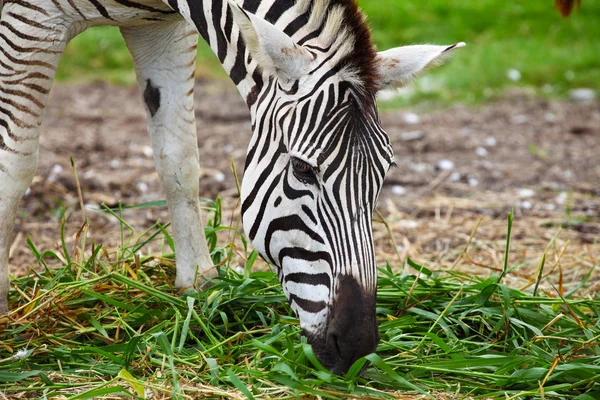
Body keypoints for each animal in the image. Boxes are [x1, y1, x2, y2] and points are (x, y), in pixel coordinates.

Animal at [0, 0, 464, 376]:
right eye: (302, 169)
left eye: (385, 172)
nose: (357, 348)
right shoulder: (30, 23)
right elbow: (15, 168)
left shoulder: (164, 29)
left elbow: (179, 158)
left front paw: (198, 288)